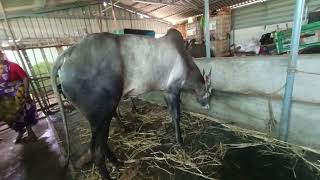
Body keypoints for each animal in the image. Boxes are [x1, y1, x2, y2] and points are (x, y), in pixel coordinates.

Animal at [50, 28, 212, 179]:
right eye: (209, 93)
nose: (208, 105)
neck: (185, 60)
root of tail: (69, 53)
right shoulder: (174, 89)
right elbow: (177, 116)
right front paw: (180, 142)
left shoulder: (166, 92)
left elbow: (172, 115)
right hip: (101, 114)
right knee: (96, 152)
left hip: (101, 116)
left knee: (102, 143)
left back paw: (117, 162)